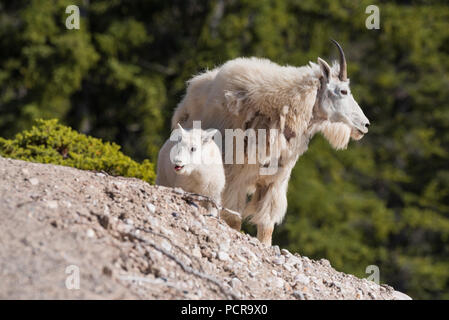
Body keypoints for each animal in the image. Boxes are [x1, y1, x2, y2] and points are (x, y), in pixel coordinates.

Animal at [170, 40, 370, 245]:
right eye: (343, 91)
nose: (365, 125)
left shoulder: (274, 182)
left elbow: (266, 226)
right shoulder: (235, 177)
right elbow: (233, 219)